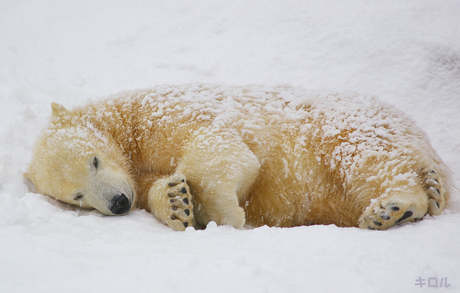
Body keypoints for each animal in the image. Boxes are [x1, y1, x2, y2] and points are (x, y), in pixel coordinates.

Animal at [23, 83, 452, 229]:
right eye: (77, 196)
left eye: (94, 160)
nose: (117, 202)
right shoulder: (137, 174)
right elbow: (156, 186)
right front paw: (177, 202)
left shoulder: (163, 112)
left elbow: (217, 145)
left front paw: (224, 215)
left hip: (349, 128)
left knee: (366, 159)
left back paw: (394, 207)